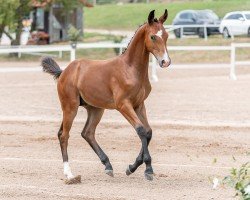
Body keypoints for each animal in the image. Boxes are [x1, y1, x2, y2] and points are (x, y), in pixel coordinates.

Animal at [42, 10, 171, 184]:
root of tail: (64, 72)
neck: (130, 69)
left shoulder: (139, 104)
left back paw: (108, 165)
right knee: (64, 135)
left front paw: (132, 167)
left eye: (166, 35)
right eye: (152, 36)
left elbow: (148, 131)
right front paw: (147, 169)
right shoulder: (123, 105)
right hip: (70, 107)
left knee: (87, 132)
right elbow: (140, 130)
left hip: (95, 109)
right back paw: (69, 174)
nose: (165, 62)